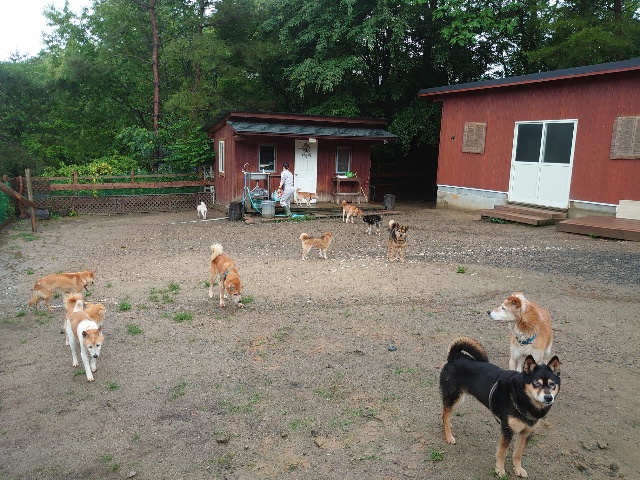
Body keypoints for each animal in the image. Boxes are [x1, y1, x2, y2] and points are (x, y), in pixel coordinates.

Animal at [440, 336, 561, 478]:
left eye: (552, 384)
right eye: (536, 383)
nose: (548, 397)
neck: (523, 399)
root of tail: (455, 356)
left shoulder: (526, 433)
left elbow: (518, 453)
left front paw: (518, 469)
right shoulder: (507, 430)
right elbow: (502, 452)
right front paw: (500, 470)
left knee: (444, 413)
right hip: (454, 397)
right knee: (445, 415)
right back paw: (448, 436)